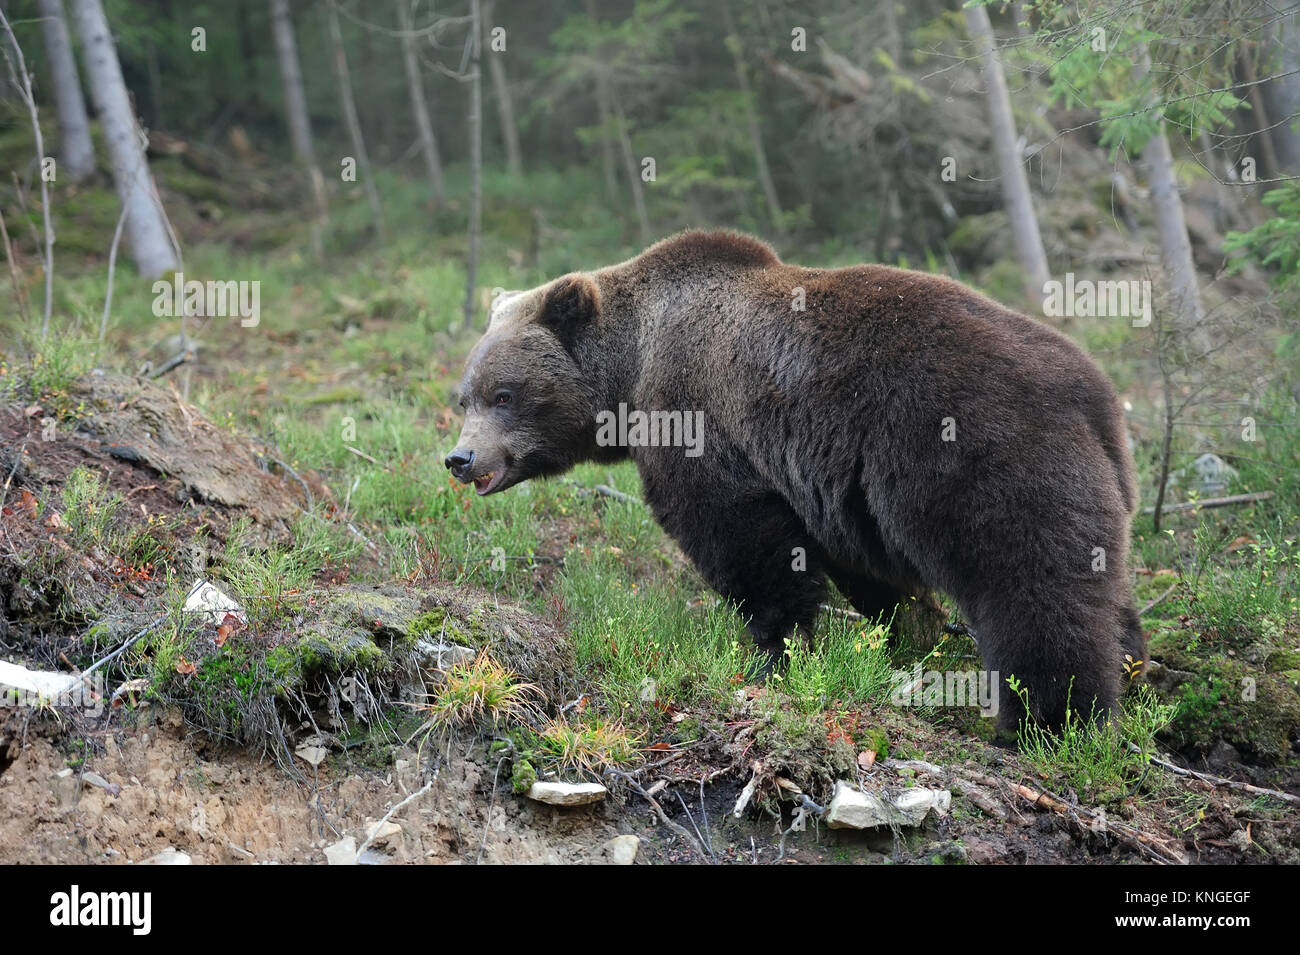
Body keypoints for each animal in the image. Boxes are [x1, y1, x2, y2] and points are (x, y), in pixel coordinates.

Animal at [446, 230, 1144, 729]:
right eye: (466, 396)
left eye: (505, 395)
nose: (461, 459)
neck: (634, 367)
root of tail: (1094, 392)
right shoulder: (836, 488)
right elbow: (861, 567)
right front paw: (898, 637)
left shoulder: (700, 417)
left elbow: (740, 538)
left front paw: (772, 650)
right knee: (1104, 582)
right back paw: (1135, 679)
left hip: (977, 451)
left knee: (1030, 588)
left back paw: (1053, 719)